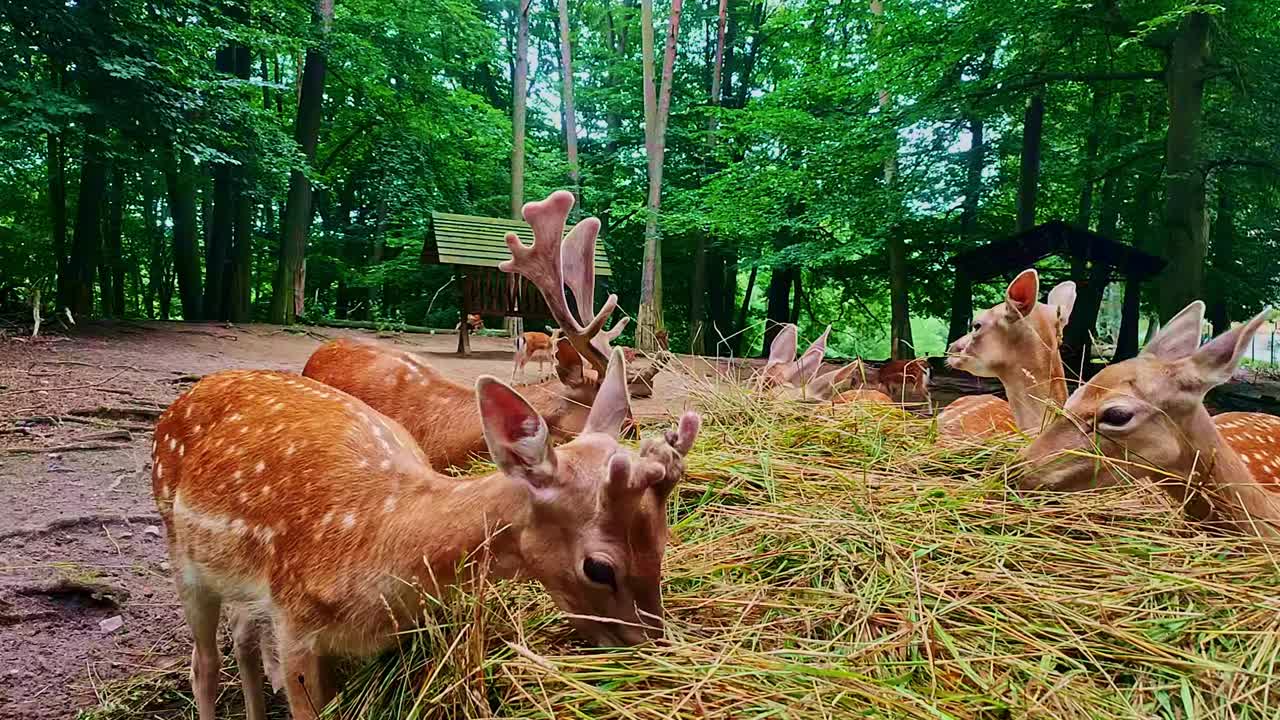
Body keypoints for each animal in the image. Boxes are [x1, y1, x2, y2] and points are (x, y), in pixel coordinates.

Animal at [157, 348, 711, 717]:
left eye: (664, 543)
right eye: (598, 568)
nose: (651, 650)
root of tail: (185, 395)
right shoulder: (294, 623)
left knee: (242, 636)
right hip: (180, 548)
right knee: (204, 664)